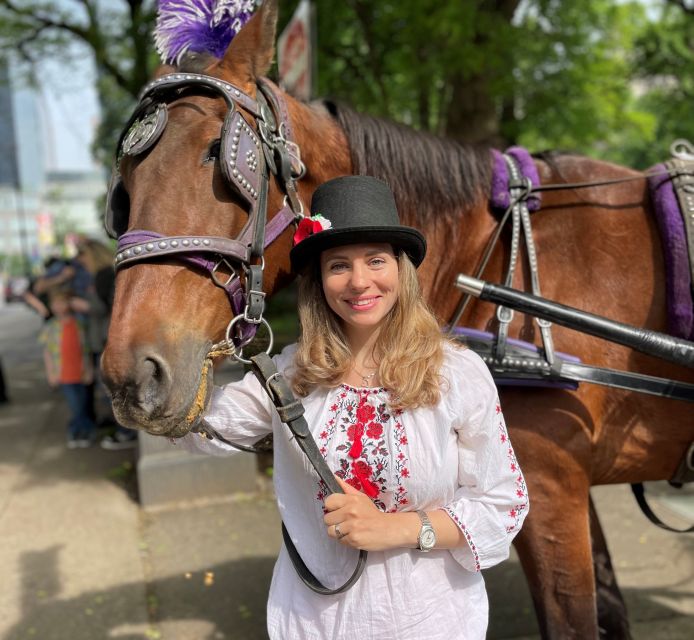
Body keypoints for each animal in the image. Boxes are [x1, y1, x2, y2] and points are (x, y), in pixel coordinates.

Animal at [102, 2, 694, 636]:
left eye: (220, 154)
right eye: (125, 189)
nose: (131, 377)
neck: (485, 247)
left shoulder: (551, 484)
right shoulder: (565, 487)